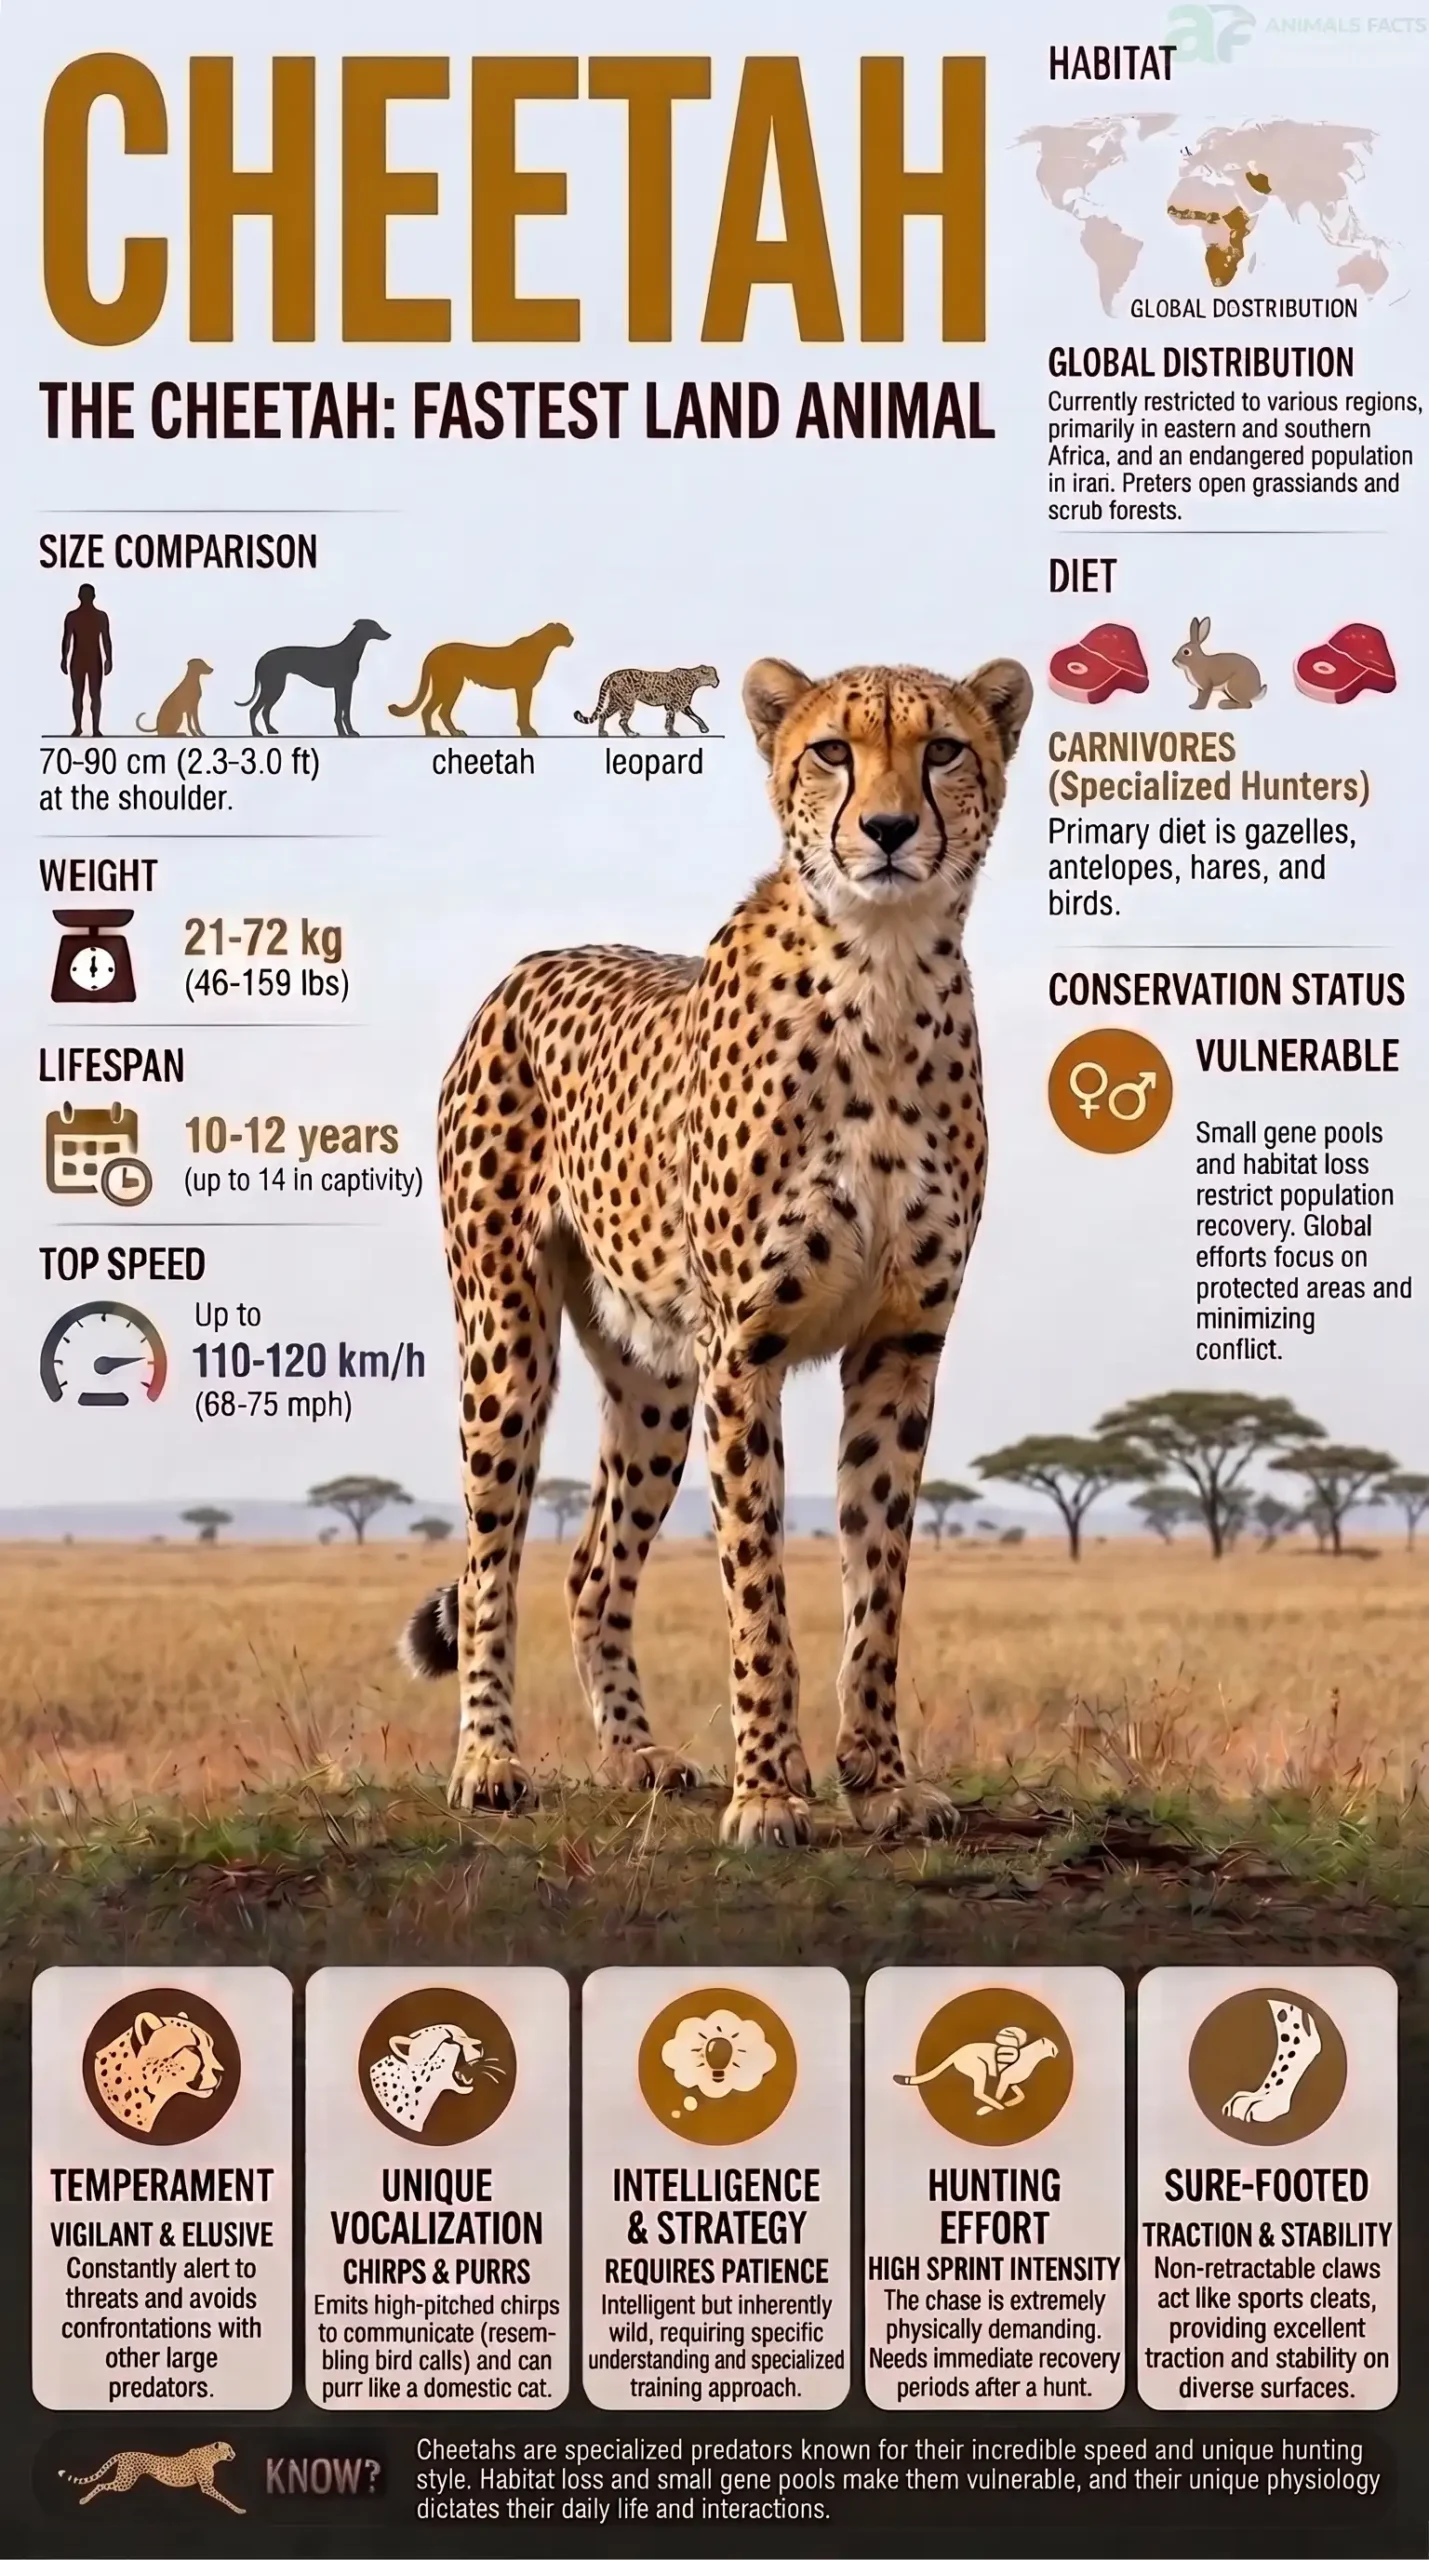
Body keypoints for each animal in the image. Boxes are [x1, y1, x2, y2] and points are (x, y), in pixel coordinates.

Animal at [59, 2444, 243, 2511]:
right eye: (229, 2449)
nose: (235, 2454)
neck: (212, 2456)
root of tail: (123, 2453)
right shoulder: (206, 2487)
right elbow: (225, 2498)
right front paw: (238, 2509)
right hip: (125, 2481)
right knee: (100, 2485)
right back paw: (84, 2500)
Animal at [575, 663, 719, 737]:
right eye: (713, 676)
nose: (718, 682)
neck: (694, 680)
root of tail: (612, 675)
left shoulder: (682, 705)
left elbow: (696, 717)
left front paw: (704, 728)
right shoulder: (672, 706)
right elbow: (671, 720)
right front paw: (671, 732)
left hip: (617, 701)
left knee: (603, 715)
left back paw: (602, 733)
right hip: (626, 703)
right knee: (621, 721)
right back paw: (631, 734)